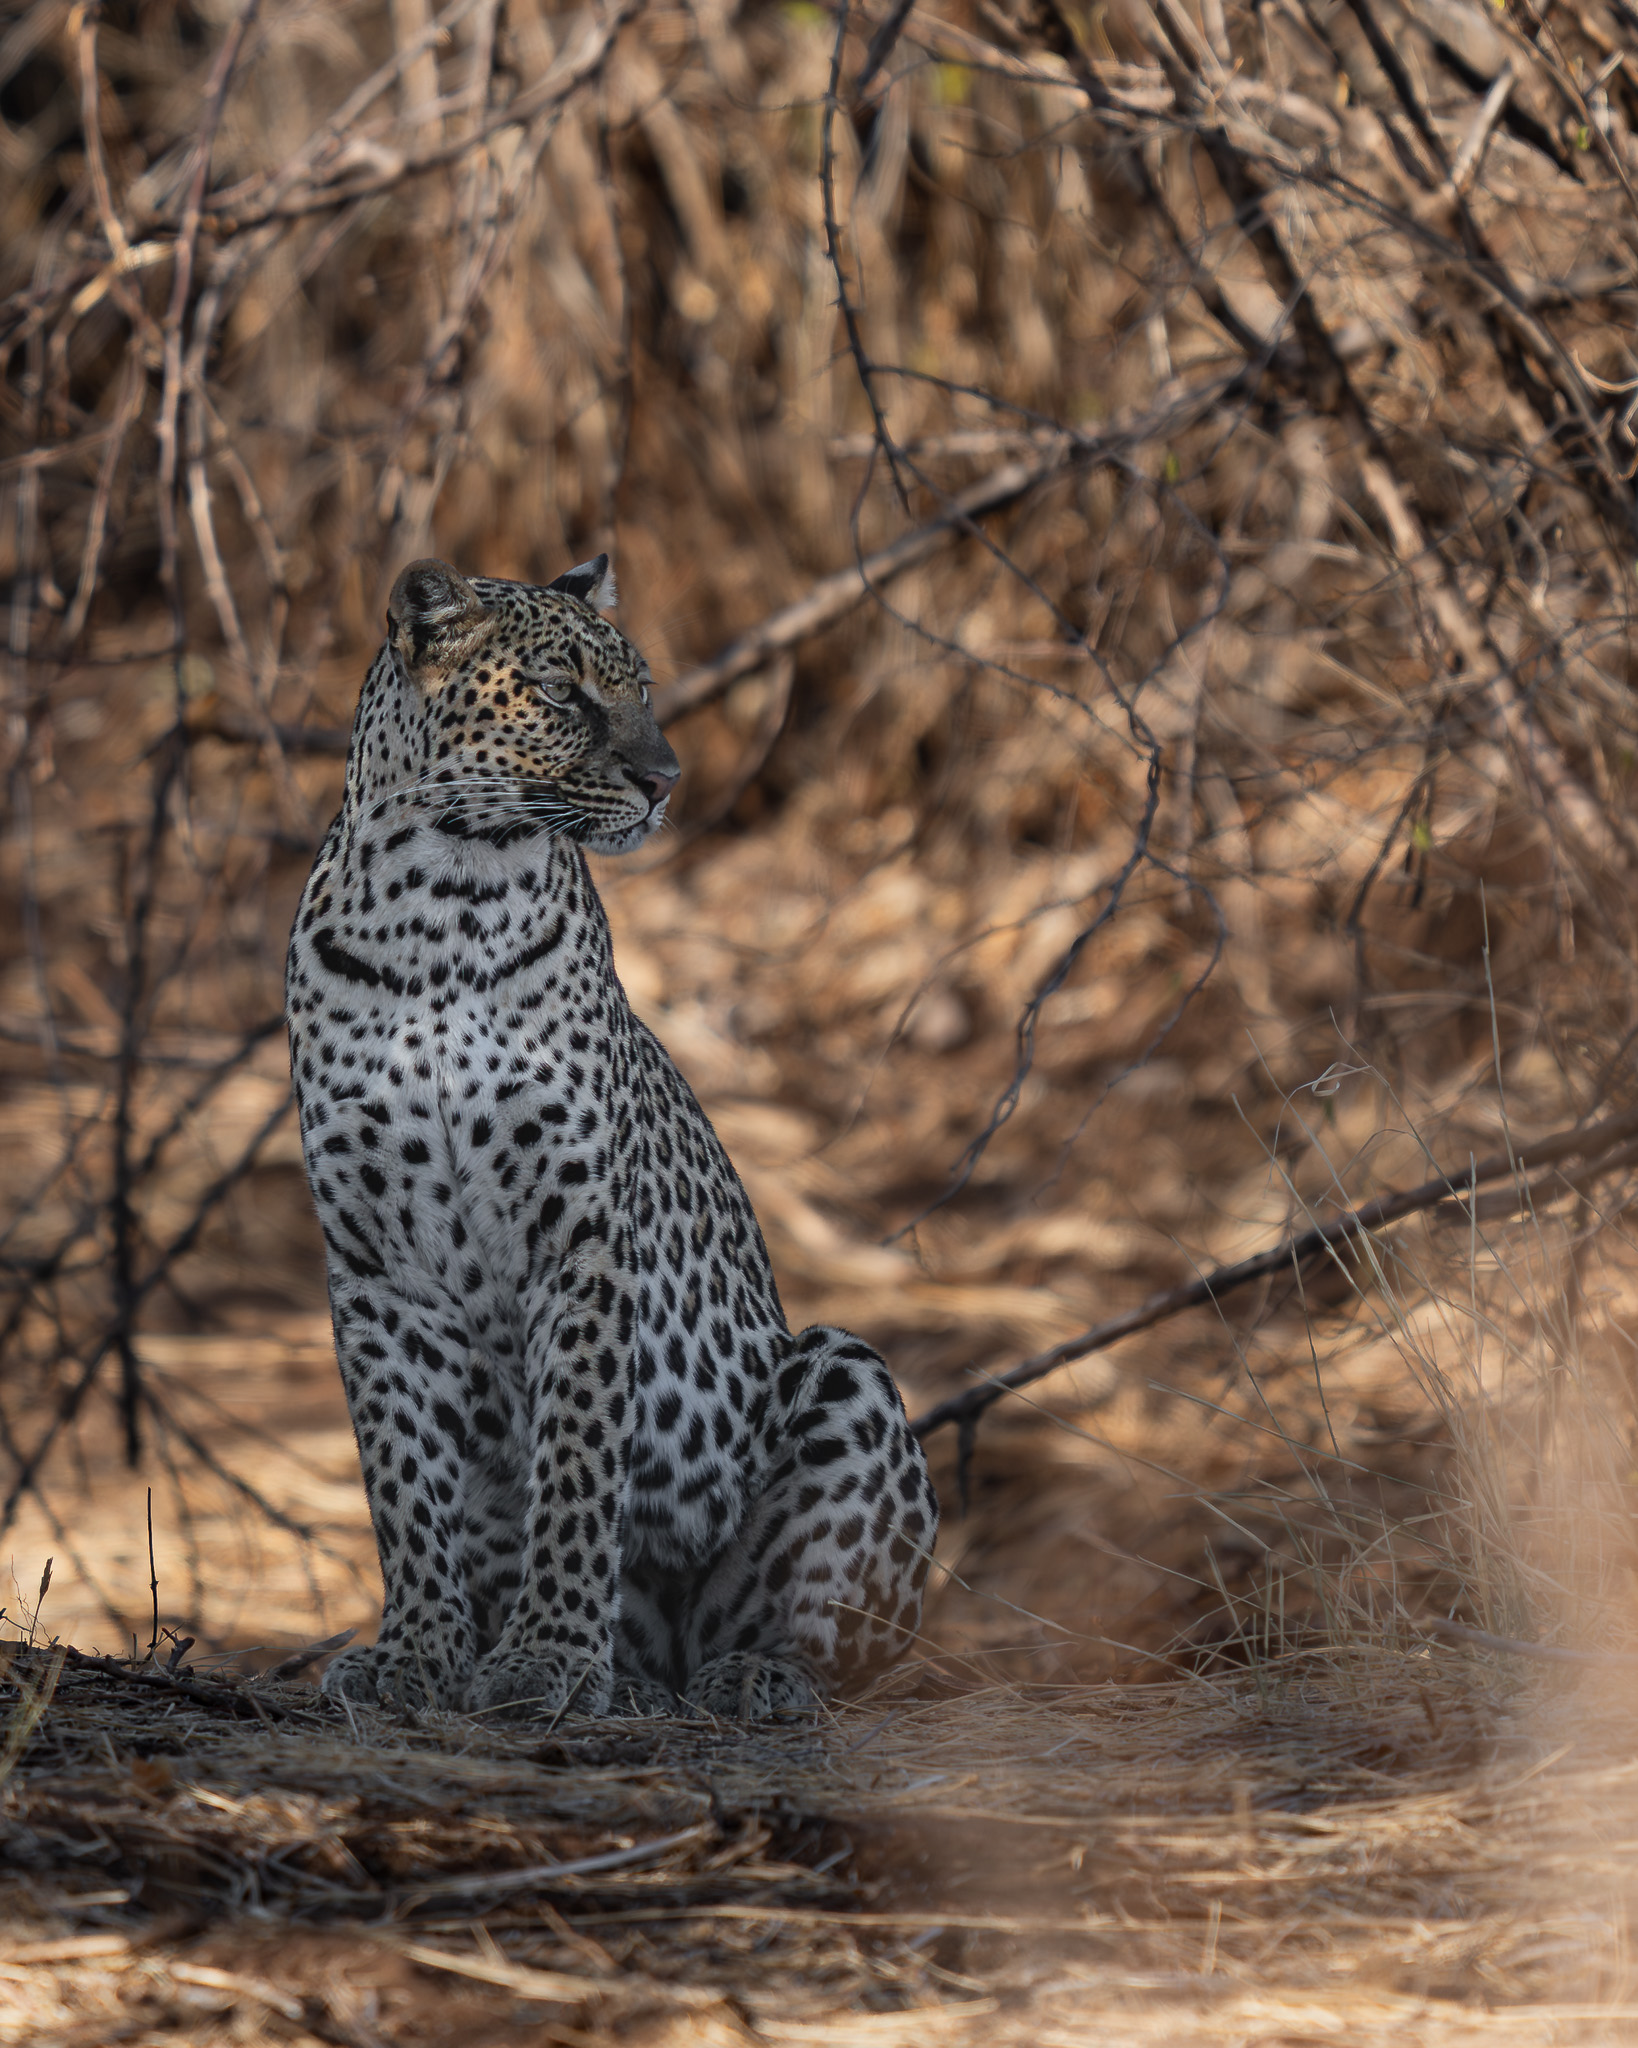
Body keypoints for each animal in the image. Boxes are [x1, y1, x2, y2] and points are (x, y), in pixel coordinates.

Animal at [286, 554, 938, 1721]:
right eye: (562, 692)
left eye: (640, 690)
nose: (666, 779)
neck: (440, 907)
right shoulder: (373, 1264)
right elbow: (400, 1477)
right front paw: (416, 1653)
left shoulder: (581, 1236)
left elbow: (582, 1459)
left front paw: (548, 1654)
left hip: (840, 1371)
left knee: (839, 1651)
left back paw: (753, 1673)